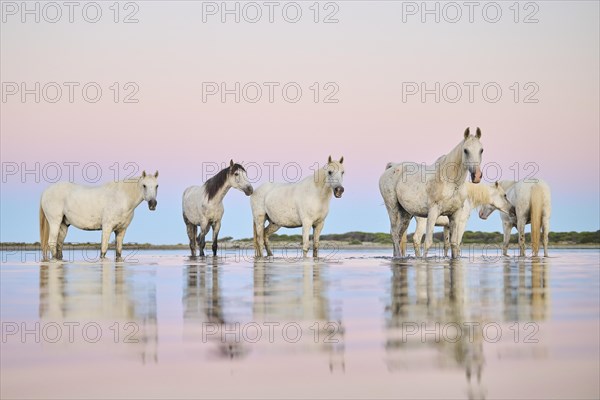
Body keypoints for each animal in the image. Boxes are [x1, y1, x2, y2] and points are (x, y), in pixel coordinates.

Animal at [382, 128, 486, 260]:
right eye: (465, 150)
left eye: (481, 150)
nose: (476, 176)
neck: (451, 183)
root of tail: (392, 167)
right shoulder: (433, 212)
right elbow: (428, 243)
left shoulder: (455, 215)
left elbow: (453, 243)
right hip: (392, 208)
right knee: (395, 234)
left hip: (405, 214)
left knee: (399, 235)